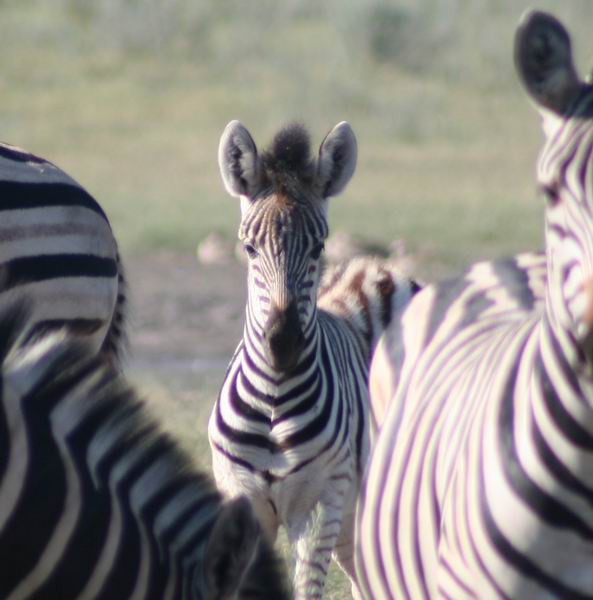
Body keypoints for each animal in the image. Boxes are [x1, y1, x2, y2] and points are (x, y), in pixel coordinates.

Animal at [209, 119, 420, 596]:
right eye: (249, 249)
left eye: (319, 247)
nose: (283, 344)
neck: (272, 399)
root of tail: (379, 272)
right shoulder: (241, 497)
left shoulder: (321, 503)